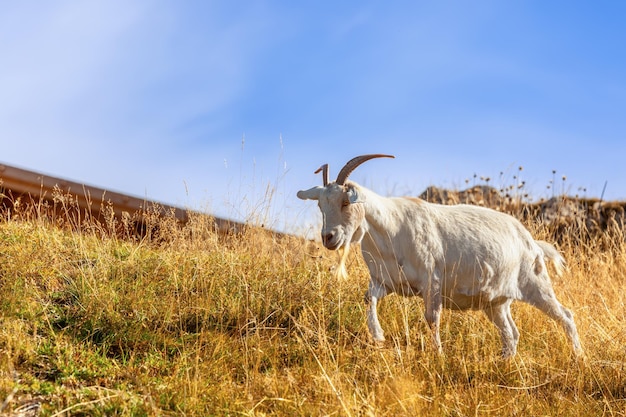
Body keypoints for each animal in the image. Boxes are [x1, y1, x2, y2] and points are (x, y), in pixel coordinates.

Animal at [296, 154, 580, 356]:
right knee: (511, 333)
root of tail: (532, 243)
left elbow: (432, 319)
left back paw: (578, 358)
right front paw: (378, 335)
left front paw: (438, 354)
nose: (328, 237)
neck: (390, 230)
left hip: (536, 285)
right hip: (496, 302)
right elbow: (368, 300)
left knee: (565, 316)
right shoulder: (384, 281)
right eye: (320, 204)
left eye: (345, 202)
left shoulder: (431, 281)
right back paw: (505, 363)